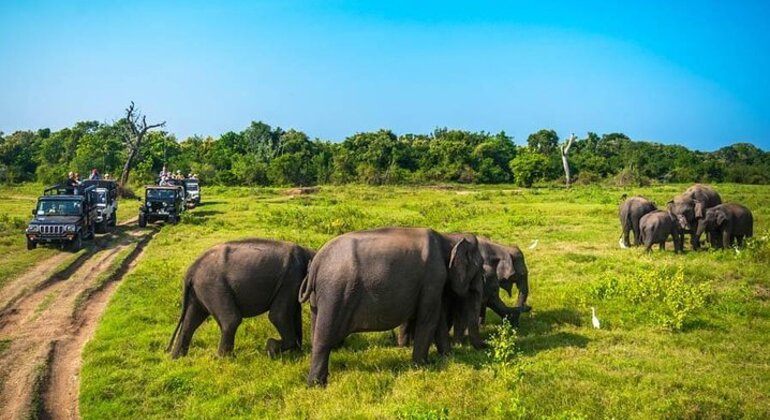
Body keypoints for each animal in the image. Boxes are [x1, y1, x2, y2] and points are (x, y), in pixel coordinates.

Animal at [166, 238, 314, 360]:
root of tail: (191, 269)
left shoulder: (292, 283)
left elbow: (294, 312)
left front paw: (297, 353)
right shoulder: (290, 278)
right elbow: (278, 316)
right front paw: (271, 349)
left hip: (199, 290)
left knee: (191, 320)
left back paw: (177, 358)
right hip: (213, 285)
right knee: (231, 320)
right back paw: (225, 359)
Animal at [298, 228, 484, 386]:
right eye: (480, 266)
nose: (485, 347)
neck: (448, 237)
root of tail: (316, 263)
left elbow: (437, 319)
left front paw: (447, 357)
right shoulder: (433, 278)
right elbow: (428, 319)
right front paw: (421, 367)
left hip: (318, 298)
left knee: (315, 332)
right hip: (335, 292)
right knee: (324, 337)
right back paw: (316, 385)